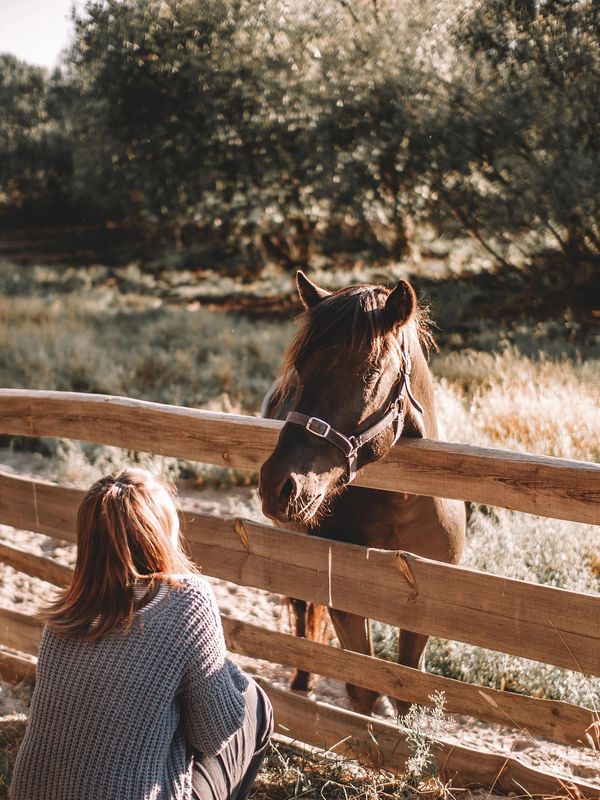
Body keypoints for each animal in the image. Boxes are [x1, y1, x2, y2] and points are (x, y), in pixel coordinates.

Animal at [259, 270, 466, 716]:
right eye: (300, 369)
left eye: (370, 372)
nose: (278, 484)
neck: (402, 504)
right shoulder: (348, 605)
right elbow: (363, 689)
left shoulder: (424, 606)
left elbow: (406, 692)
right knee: (300, 608)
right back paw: (302, 678)